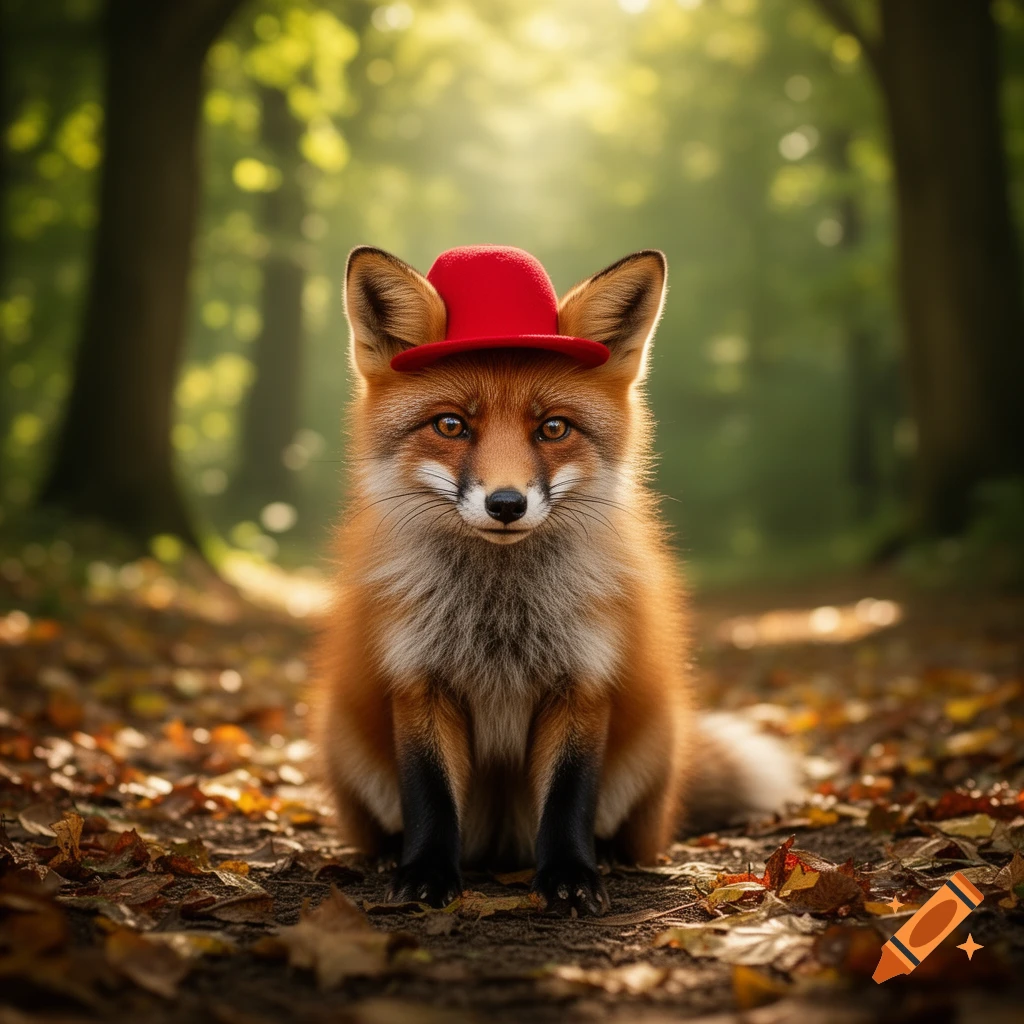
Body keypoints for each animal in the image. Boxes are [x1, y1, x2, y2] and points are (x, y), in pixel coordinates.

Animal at [314, 244, 801, 916]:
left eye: (553, 428)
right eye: (450, 426)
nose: (506, 504)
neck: (499, 615)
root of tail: (498, 850)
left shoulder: (584, 682)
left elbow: (570, 797)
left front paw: (571, 877)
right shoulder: (418, 680)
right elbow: (430, 797)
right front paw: (426, 875)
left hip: (651, 750)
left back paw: (615, 859)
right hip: (347, 745)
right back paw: (388, 855)